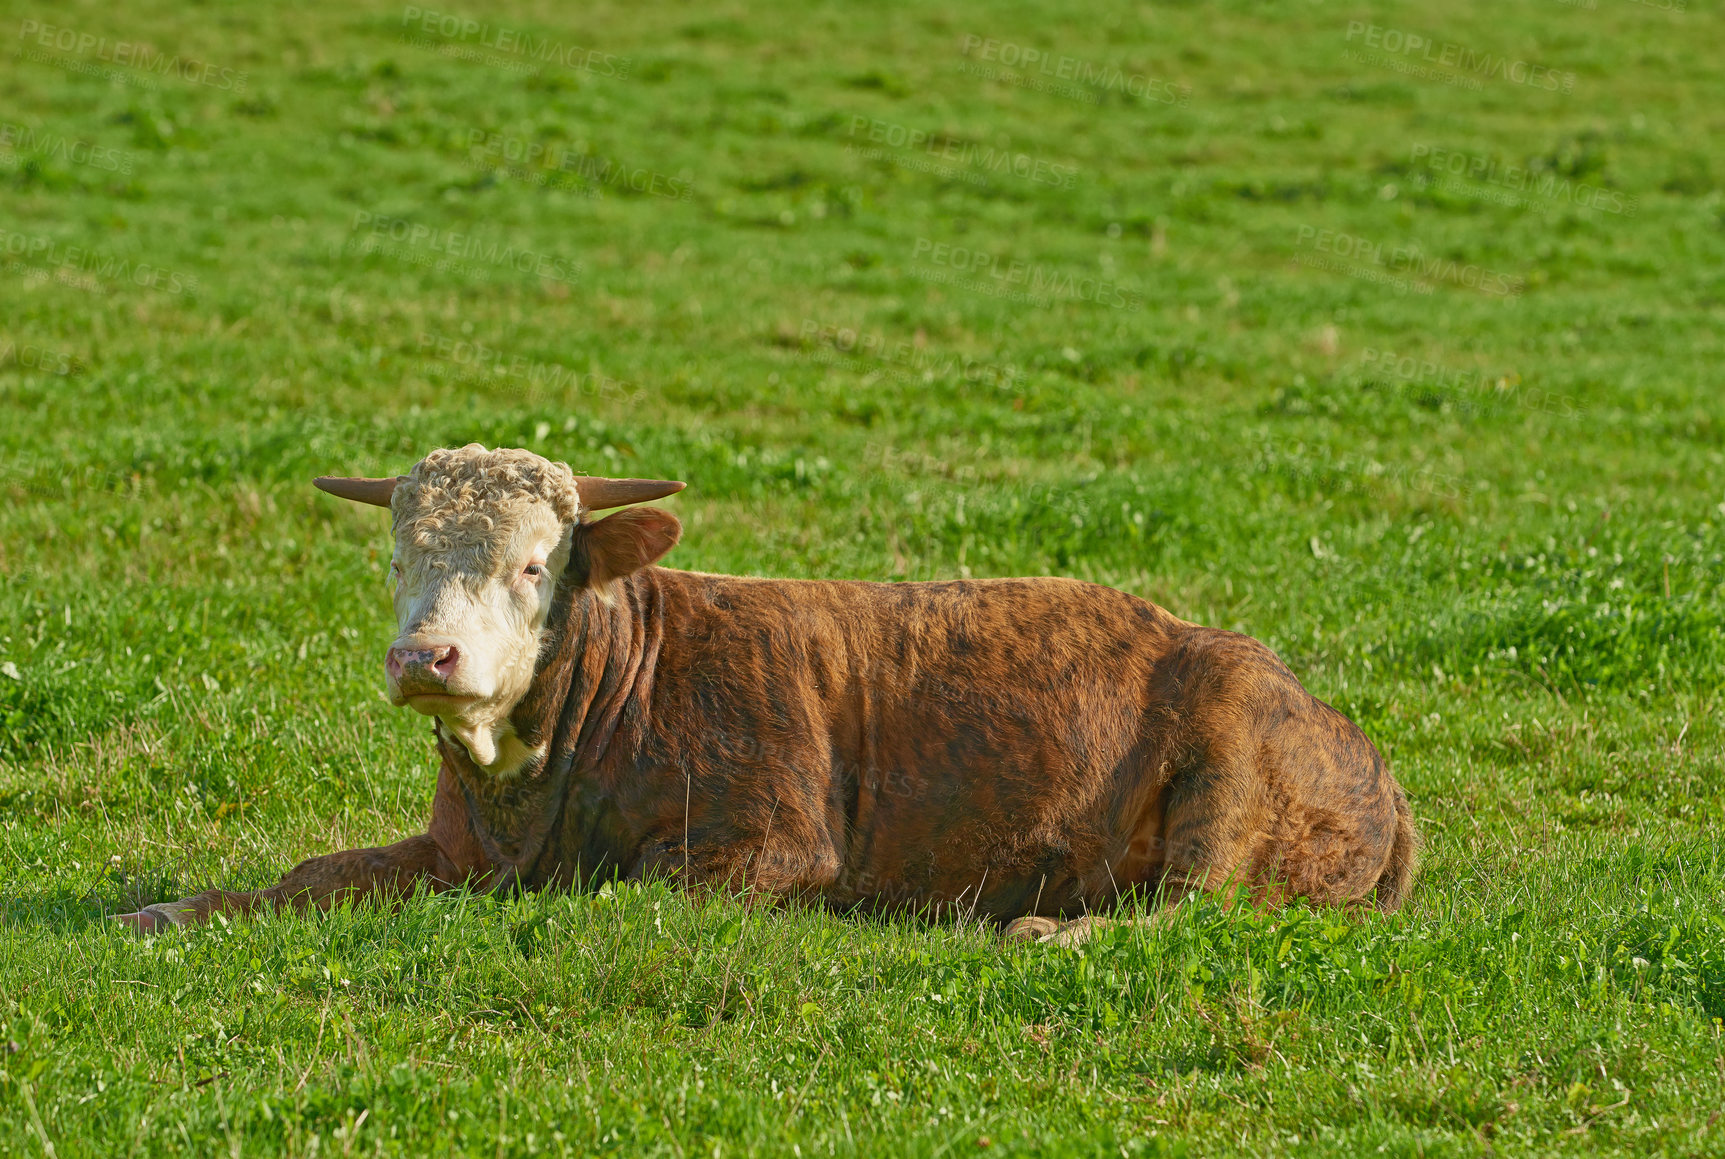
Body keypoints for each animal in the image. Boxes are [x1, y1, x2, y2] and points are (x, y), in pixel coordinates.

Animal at [116, 444, 1418, 944]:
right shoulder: (456, 847)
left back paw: (1045, 927)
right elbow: (310, 876)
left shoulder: (773, 845)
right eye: (398, 560)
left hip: (1229, 768)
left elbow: (616, 894)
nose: (423, 659)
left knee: (1193, 904)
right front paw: (170, 909)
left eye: (535, 563)